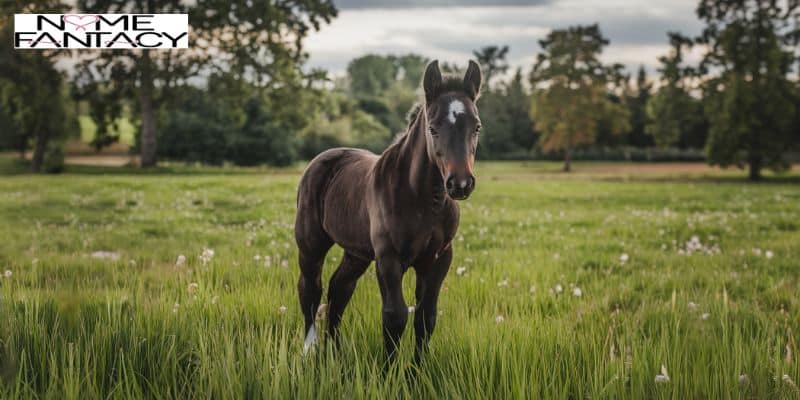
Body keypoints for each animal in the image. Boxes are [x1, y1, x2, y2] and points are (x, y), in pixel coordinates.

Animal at [294, 59, 482, 362]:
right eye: (433, 128)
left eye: (476, 127)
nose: (460, 184)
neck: (425, 200)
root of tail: (324, 157)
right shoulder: (388, 257)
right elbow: (395, 316)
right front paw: (388, 371)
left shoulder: (439, 258)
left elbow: (426, 317)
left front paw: (418, 370)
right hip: (311, 244)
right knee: (311, 289)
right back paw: (310, 351)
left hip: (356, 253)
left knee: (339, 290)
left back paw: (334, 351)